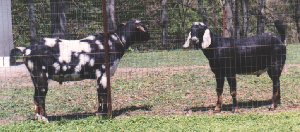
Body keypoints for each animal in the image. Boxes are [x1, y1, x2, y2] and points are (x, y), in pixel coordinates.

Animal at [14, 19, 150, 121]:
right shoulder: (102, 74)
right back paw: (45, 119)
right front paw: (104, 116)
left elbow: (100, 95)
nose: (150, 36)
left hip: (35, 79)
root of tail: (26, 49)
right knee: (40, 98)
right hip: (41, 78)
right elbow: (103, 95)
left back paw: (39, 118)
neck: (112, 42)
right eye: (144, 27)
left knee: (35, 97)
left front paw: (99, 114)